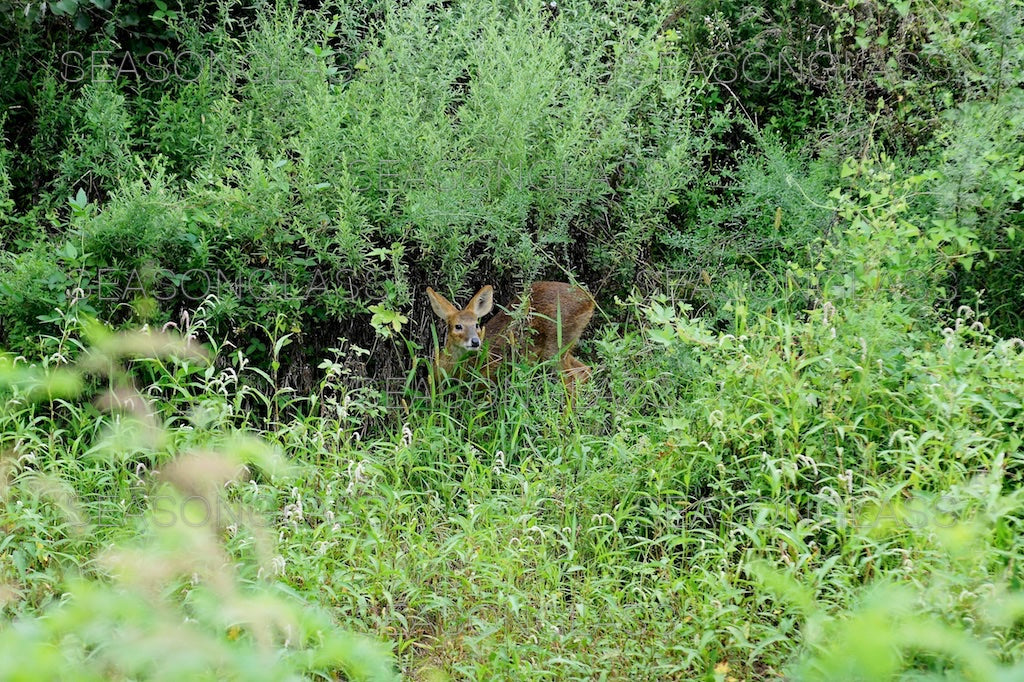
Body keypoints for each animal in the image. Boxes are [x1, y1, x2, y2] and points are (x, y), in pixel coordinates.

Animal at [428, 278, 598, 391]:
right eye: (458, 326)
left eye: (476, 324)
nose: (475, 341)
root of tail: (589, 302)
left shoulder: (488, 377)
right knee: (584, 371)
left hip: (555, 347)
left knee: (571, 381)